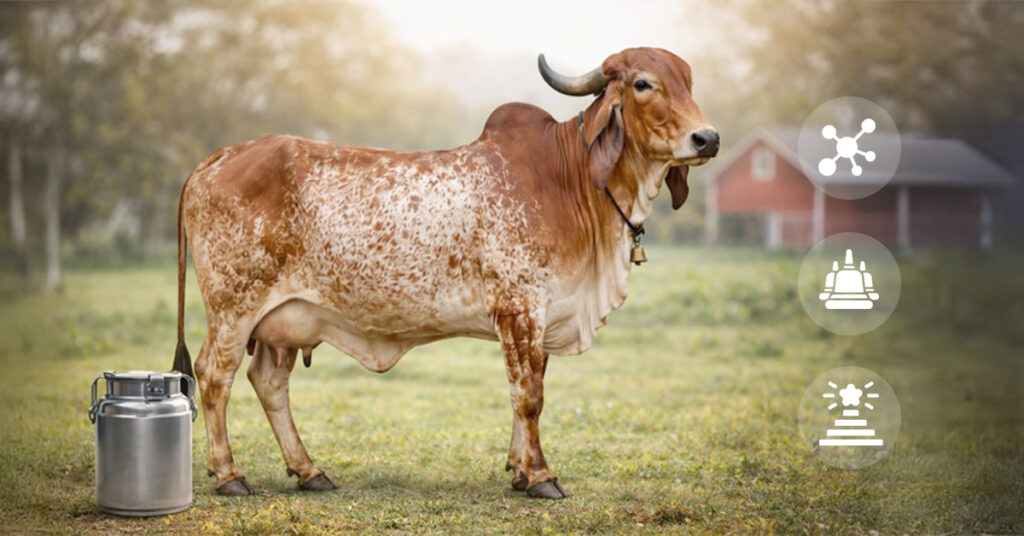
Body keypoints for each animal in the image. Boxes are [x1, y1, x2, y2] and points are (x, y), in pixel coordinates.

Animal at [171, 47, 719, 499]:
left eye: (690, 82)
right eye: (644, 83)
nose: (707, 137)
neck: (571, 182)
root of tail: (213, 160)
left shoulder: (542, 313)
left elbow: (525, 390)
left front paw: (519, 470)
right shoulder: (520, 308)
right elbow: (529, 396)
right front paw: (541, 476)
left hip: (283, 320)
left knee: (268, 382)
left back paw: (309, 471)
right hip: (233, 306)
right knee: (214, 376)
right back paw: (229, 474)